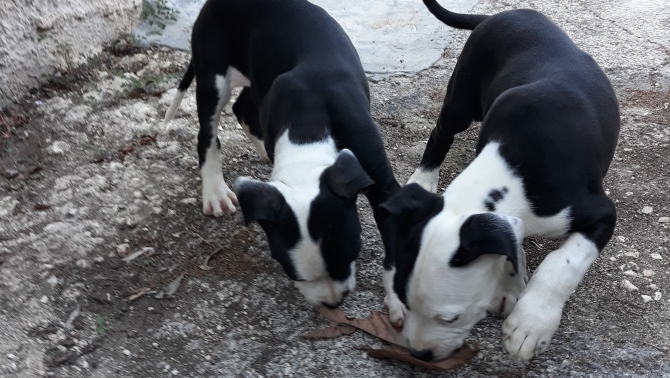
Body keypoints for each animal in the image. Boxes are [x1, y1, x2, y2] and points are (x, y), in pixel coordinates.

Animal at [165, 0, 402, 308]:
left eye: (352, 254)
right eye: (295, 273)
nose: (334, 303)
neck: (308, 125)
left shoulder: (381, 184)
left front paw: (398, 301)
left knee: (242, 107)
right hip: (212, 77)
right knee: (207, 133)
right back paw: (215, 192)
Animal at [380, 1, 624, 364]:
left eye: (450, 317)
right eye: (404, 299)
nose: (419, 353)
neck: (511, 168)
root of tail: (499, 15)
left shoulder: (600, 213)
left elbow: (562, 264)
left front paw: (531, 322)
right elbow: (512, 249)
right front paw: (509, 291)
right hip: (461, 99)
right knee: (441, 132)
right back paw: (424, 179)